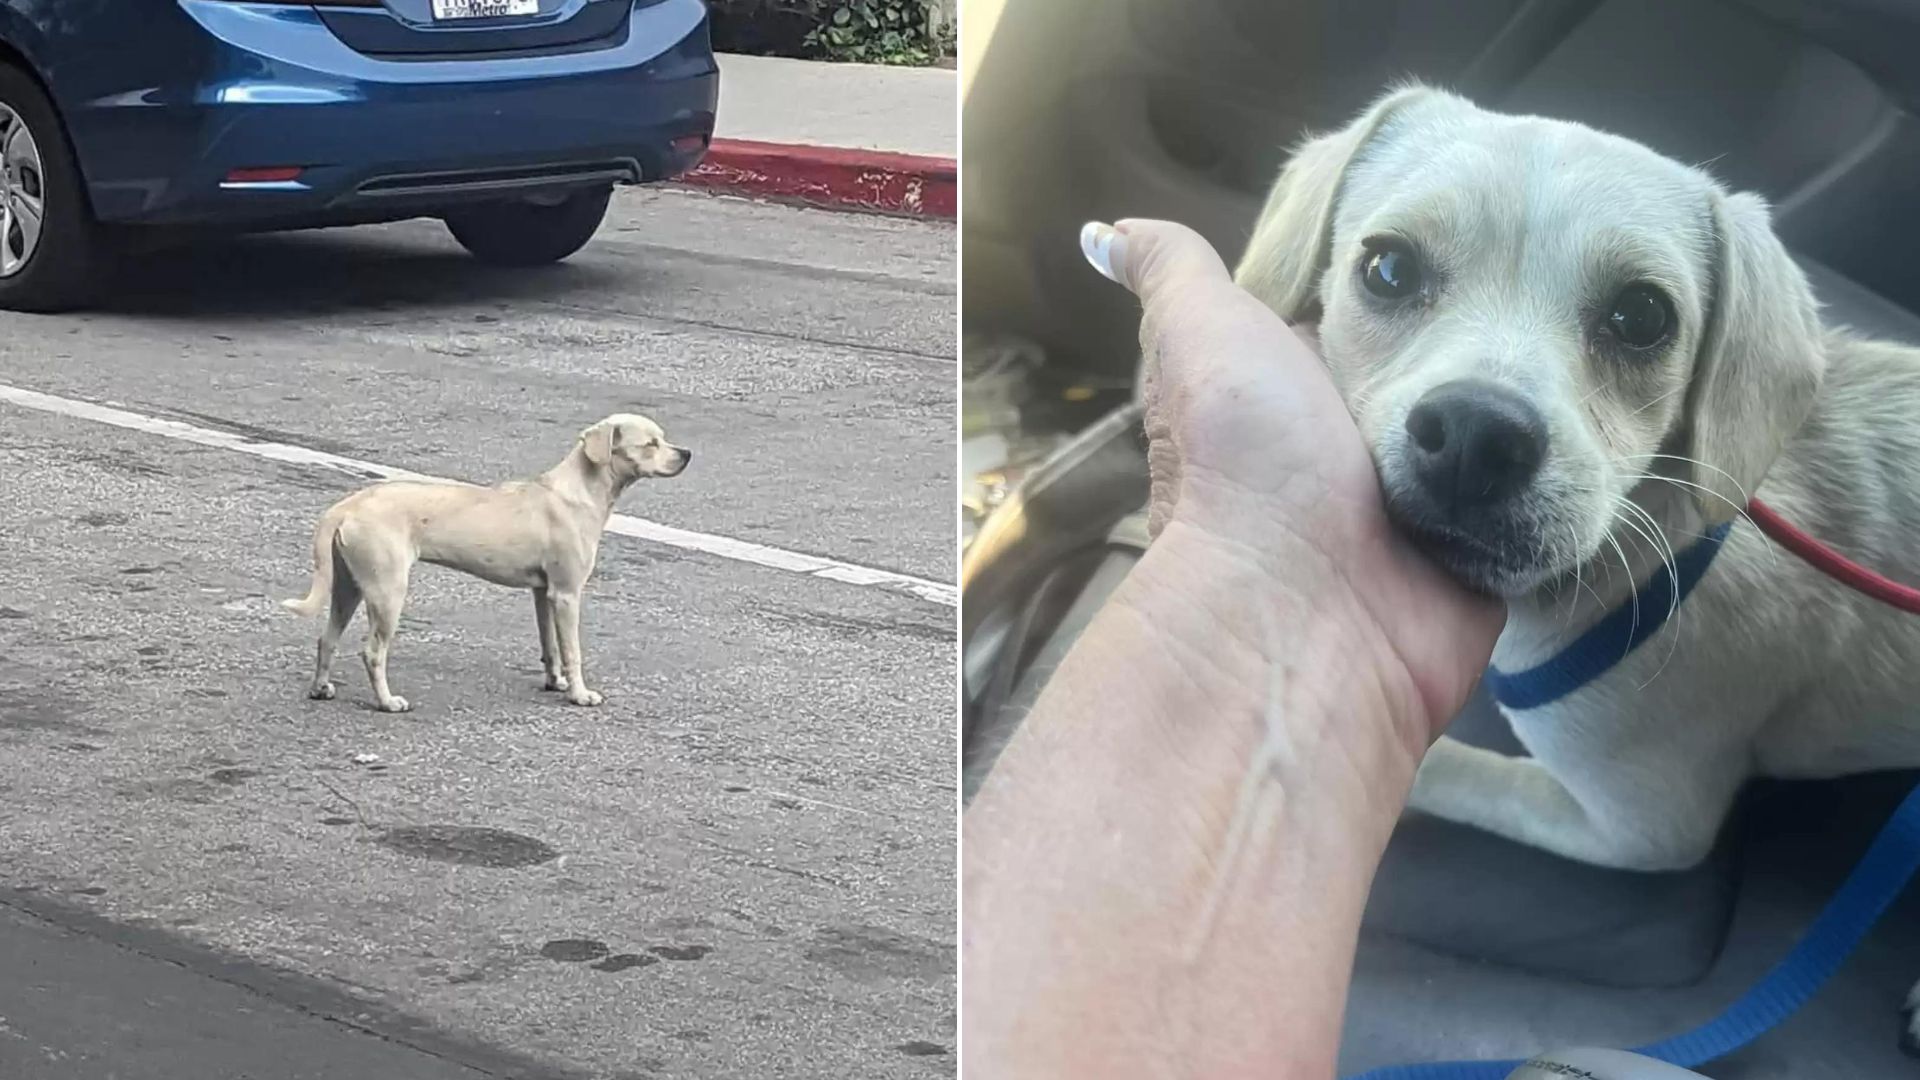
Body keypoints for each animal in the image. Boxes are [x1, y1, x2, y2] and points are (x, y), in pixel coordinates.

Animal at [278, 409, 683, 707]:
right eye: (651, 443)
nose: (687, 454)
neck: (579, 492)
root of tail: (348, 505)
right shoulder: (567, 594)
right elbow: (572, 651)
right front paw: (579, 694)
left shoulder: (544, 593)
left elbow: (550, 646)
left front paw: (555, 682)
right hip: (387, 591)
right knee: (372, 652)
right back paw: (388, 702)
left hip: (349, 586)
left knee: (326, 639)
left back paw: (320, 689)